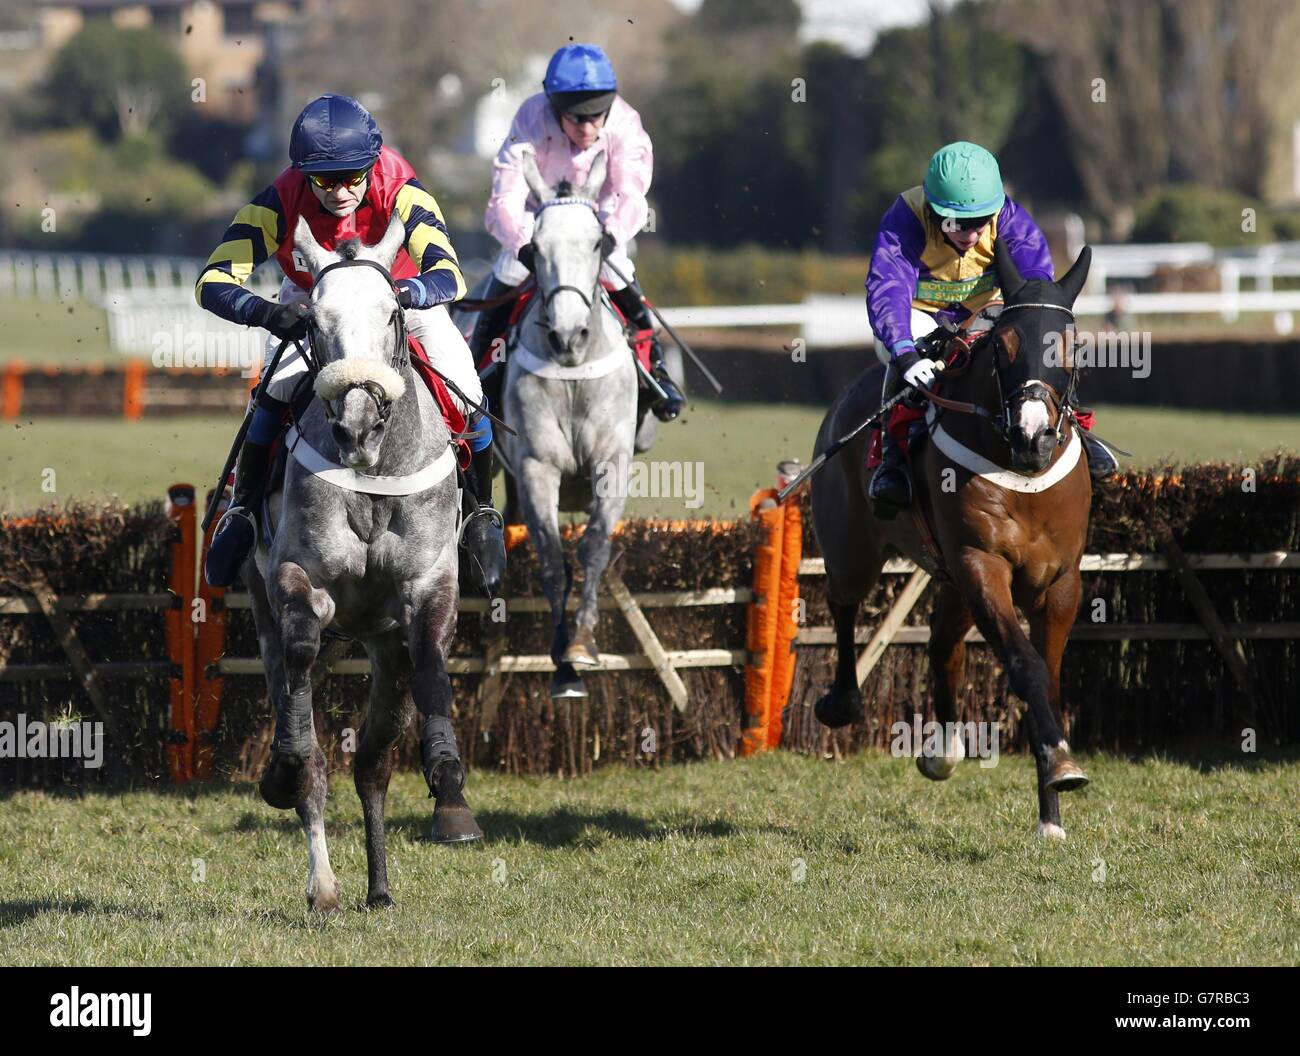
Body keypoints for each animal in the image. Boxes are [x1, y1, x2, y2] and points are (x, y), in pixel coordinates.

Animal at [241, 210, 480, 910]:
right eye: (314, 322)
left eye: (393, 313)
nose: (358, 427)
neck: (374, 475)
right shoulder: (297, 576)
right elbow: (300, 667)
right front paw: (284, 766)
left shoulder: (428, 584)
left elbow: (432, 663)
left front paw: (450, 794)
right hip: (262, 604)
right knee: (316, 745)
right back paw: (324, 883)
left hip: (383, 648)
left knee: (373, 764)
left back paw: (380, 886)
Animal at [816, 241, 1092, 842]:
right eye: (1004, 345)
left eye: (1071, 346)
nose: (1034, 436)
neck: (1022, 473)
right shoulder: (981, 562)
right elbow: (1026, 667)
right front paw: (1061, 767)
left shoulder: (1059, 581)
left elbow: (1049, 679)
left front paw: (1052, 810)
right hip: (854, 544)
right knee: (844, 602)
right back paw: (842, 702)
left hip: (948, 579)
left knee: (943, 647)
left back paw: (943, 750)